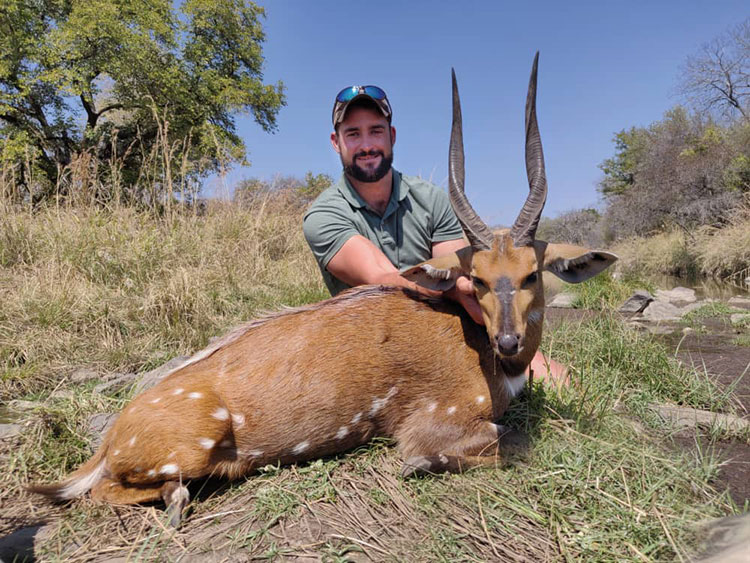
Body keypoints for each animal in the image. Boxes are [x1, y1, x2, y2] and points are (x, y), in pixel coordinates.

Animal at [28, 54, 616, 527]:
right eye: (478, 280)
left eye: (531, 274)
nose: (510, 343)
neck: (482, 350)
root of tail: (112, 436)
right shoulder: (437, 421)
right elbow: (507, 442)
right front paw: (417, 465)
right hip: (189, 451)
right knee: (101, 491)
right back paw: (175, 504)